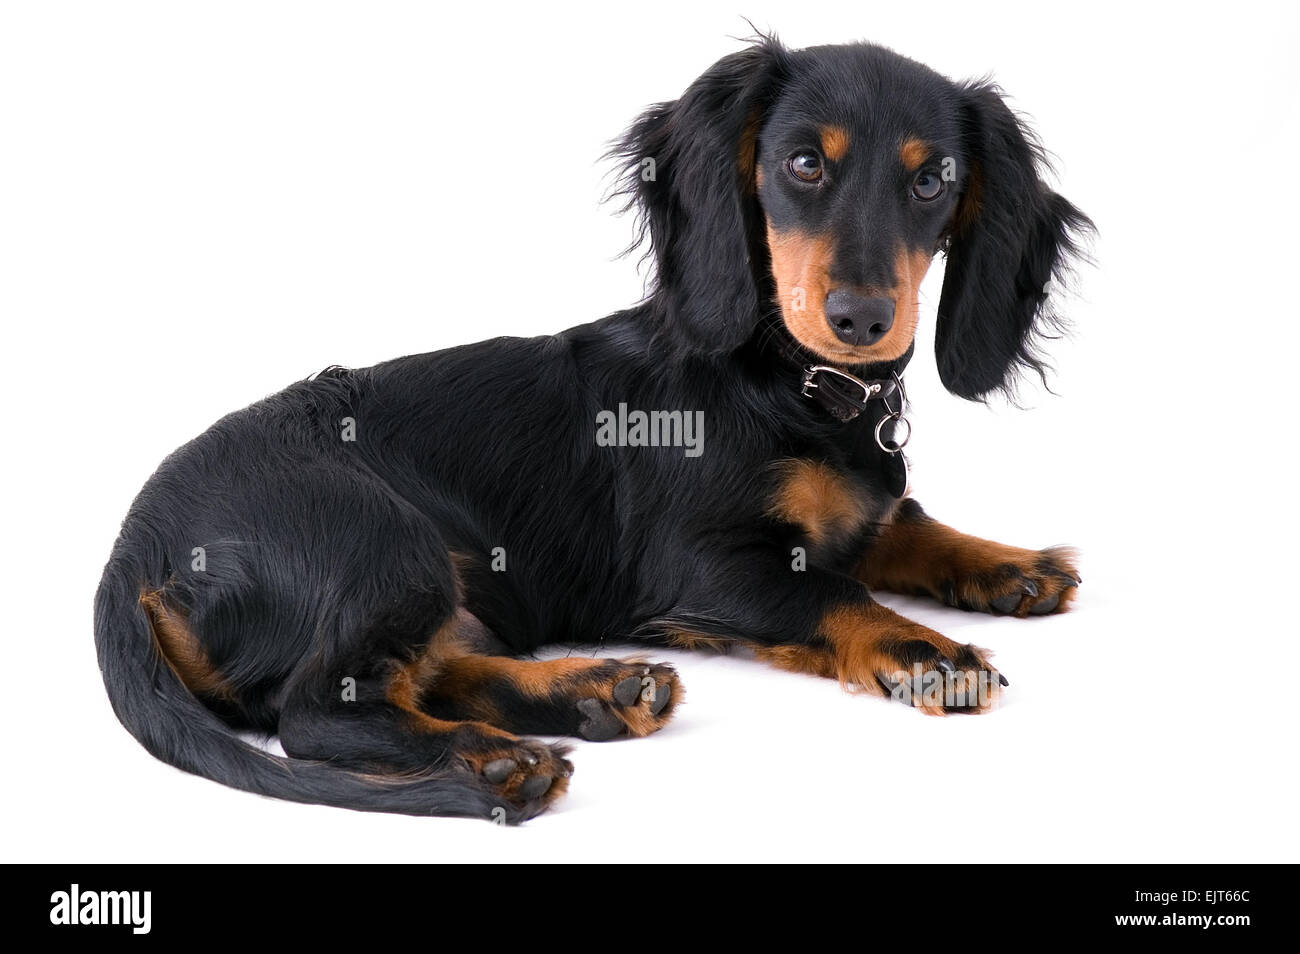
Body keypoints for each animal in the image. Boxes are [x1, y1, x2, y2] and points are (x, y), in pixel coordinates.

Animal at [91, 37, 1092, 821]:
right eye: (805, 164)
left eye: (931, 180)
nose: (860, 319)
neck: (793, 386)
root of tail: (132, 551)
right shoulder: (702, 565)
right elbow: (832, 594)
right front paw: (925, 650)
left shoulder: (859, 508)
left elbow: (904, 524)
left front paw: (1010, 565)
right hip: (382, 539)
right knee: (315, 713)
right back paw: (502, 761)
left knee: (430, 673)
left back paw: (598, 693)